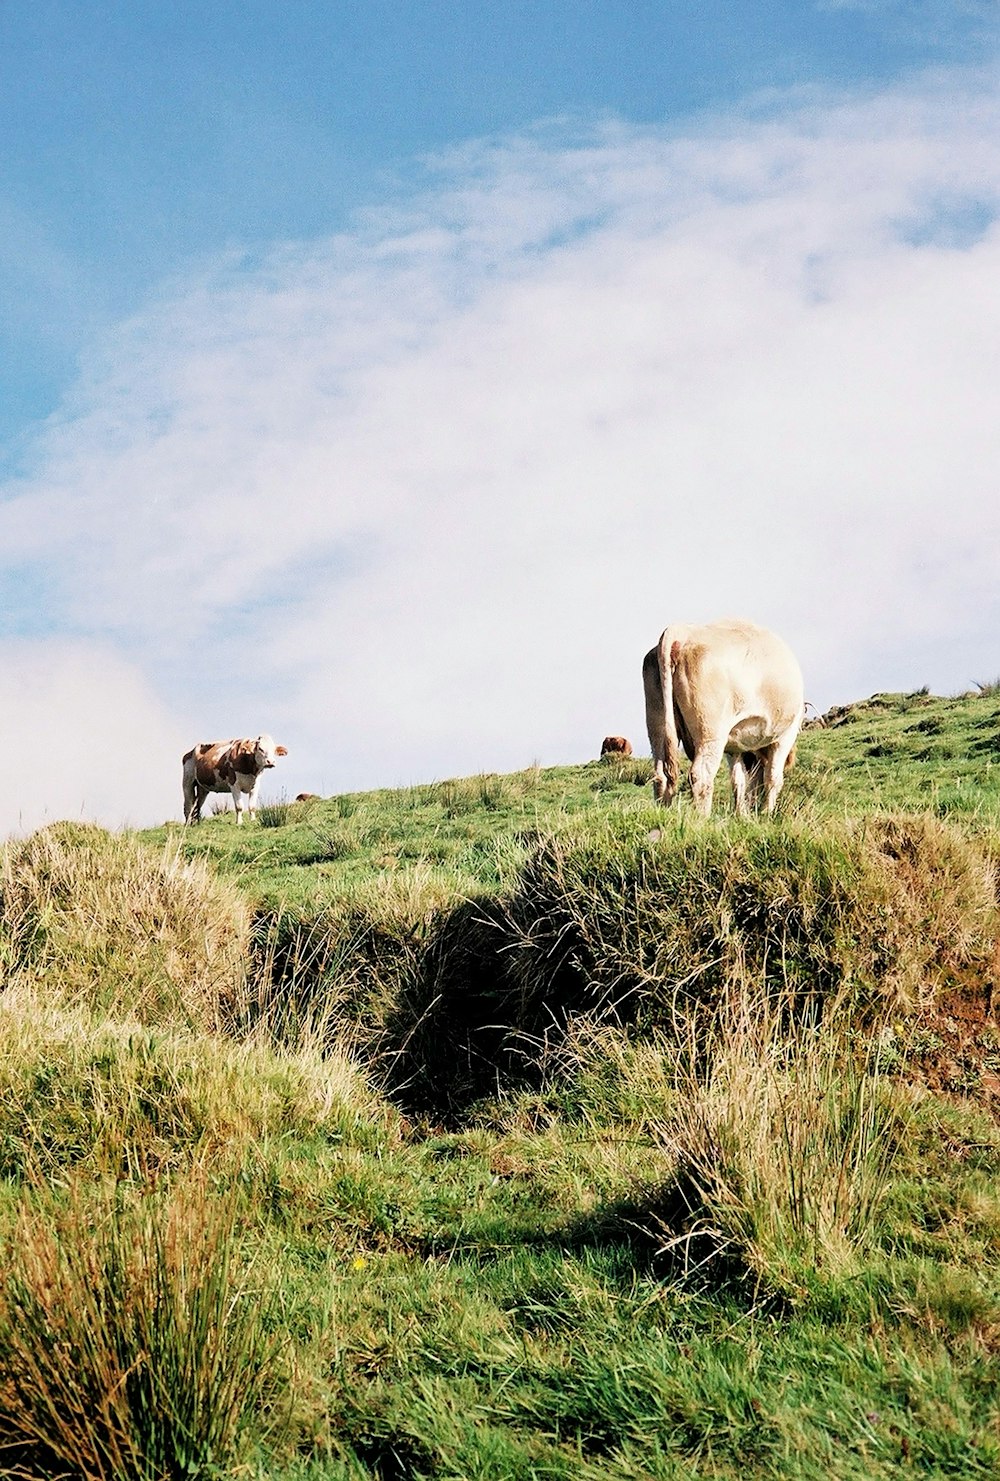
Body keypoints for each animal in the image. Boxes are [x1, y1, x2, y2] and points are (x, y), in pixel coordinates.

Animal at [642, 619, 805, 817]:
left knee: (661, 775)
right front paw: (767, 813)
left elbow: (739, 780)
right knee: (701, 776)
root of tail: (683, 632)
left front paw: (742, 815)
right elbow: (773, 777)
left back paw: (664, 813)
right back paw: (702, 818)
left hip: (657, 723)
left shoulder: (734, 745)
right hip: (711, 732)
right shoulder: (786, 734)